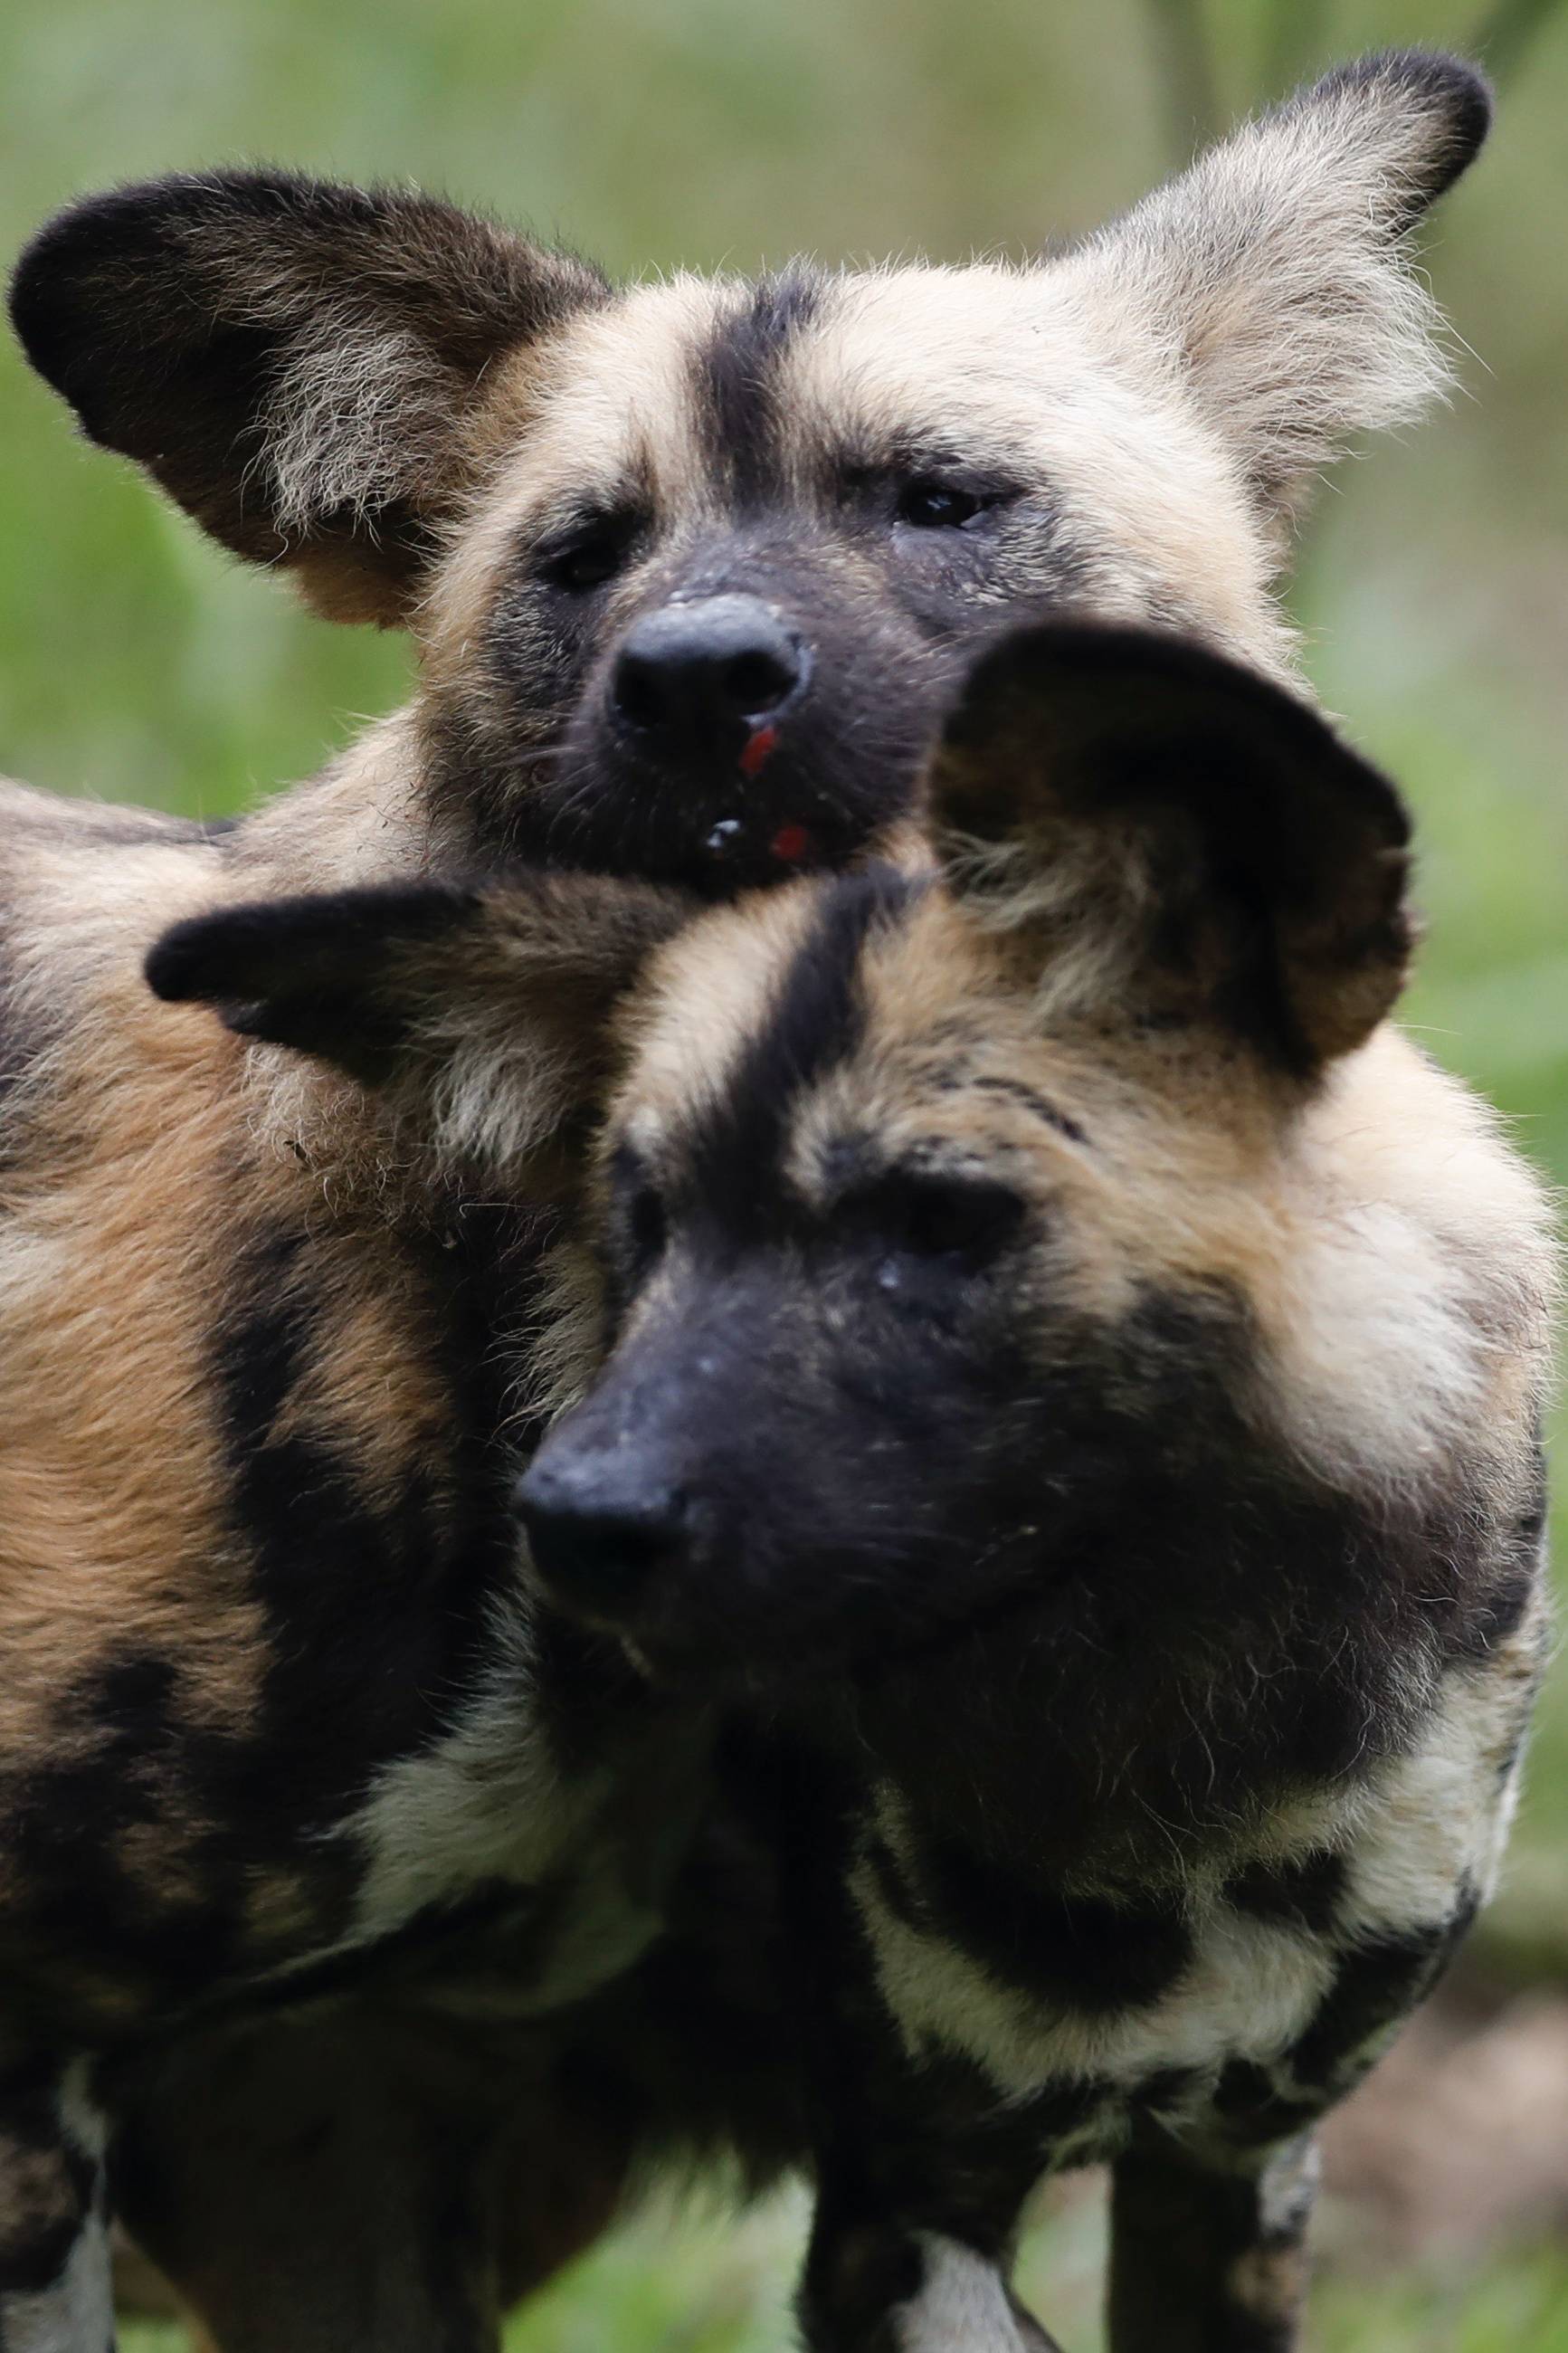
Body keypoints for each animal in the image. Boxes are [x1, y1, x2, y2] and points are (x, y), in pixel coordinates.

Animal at [159, 616, 1561, 2343]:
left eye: (938, 1225)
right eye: (646, 1221)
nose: (577, 1520)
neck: (1174, 1745)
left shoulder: (1239, 2169)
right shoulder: (908, 2217)